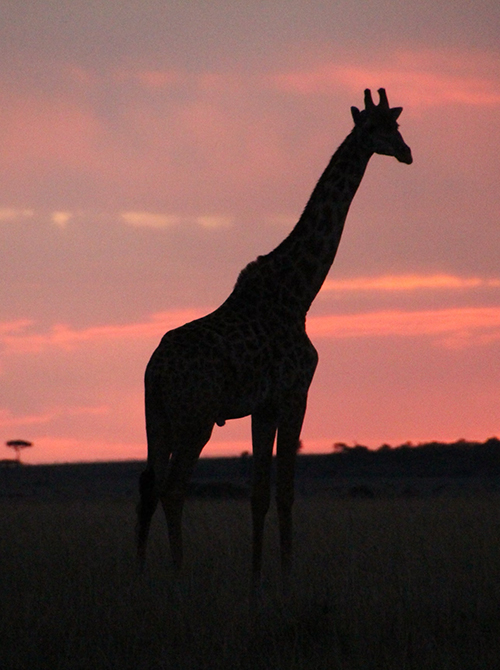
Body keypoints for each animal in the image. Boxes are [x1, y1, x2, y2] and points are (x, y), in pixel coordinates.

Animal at [136, 88, 412, 587]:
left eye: (397, 126)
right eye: (376, 129)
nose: (407, 153)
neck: (300, 292)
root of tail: (155, 369)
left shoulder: (262, 406)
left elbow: (259, 493)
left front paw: (257, 576)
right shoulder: (295, 394)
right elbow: (285, 491)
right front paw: (285, 575)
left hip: (157, 416)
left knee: (148, 483)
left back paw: (139, 571)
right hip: (195, 417)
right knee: (173, 487)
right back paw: (178, 572)